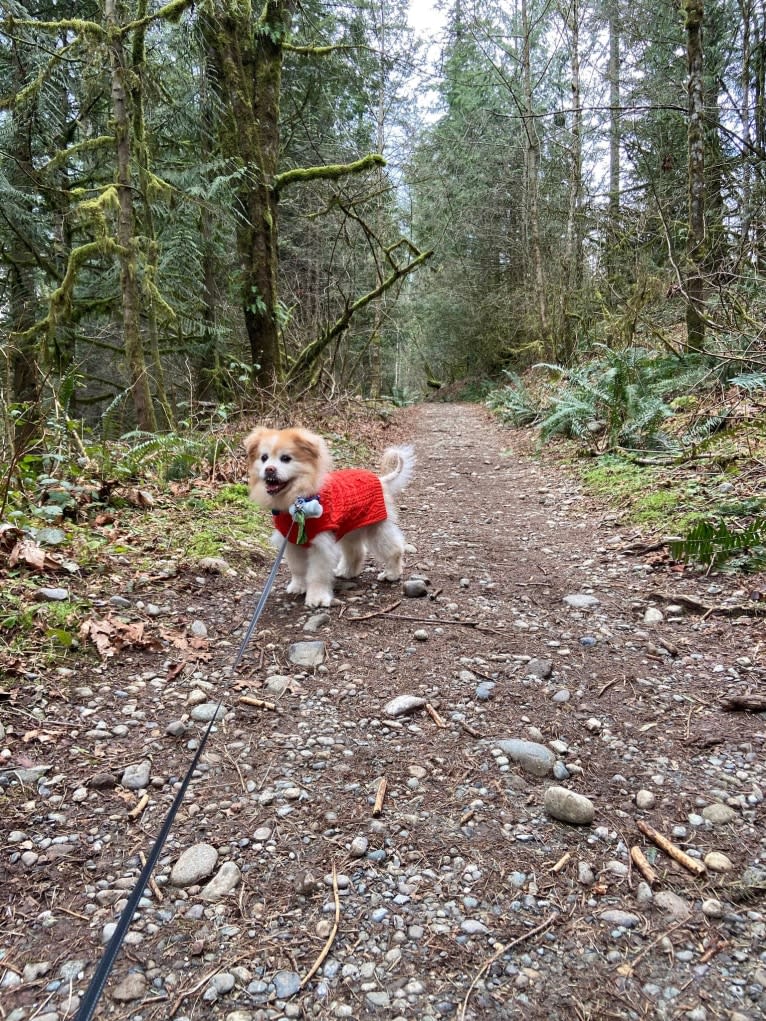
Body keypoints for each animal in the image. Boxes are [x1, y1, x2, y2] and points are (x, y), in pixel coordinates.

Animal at [244, 424, 414, 604]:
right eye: (264, 458)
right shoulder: (292, 542)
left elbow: (317, 575)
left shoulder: (321, 546)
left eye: (285, 458)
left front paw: (317, 597)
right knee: (357, 552)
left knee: (394, 549)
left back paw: (391, 573)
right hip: (349, 529)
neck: (299, 501)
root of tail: (380, 480)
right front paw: (298, 586)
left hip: (377, 528)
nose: (269, 469)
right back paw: (347, 572)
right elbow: (298, 569)